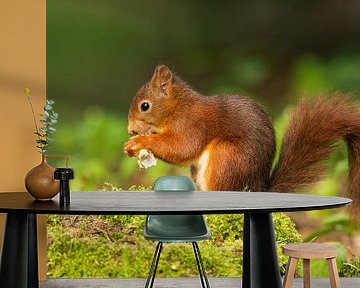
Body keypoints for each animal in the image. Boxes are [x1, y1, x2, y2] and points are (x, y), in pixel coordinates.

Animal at [124, 63, 360, 216]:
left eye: (145, 106)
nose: (130, 130)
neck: (176, 107)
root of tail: (258, 190)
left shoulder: (191, 125)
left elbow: (183, 148)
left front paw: (139, 142)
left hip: (226, 157)